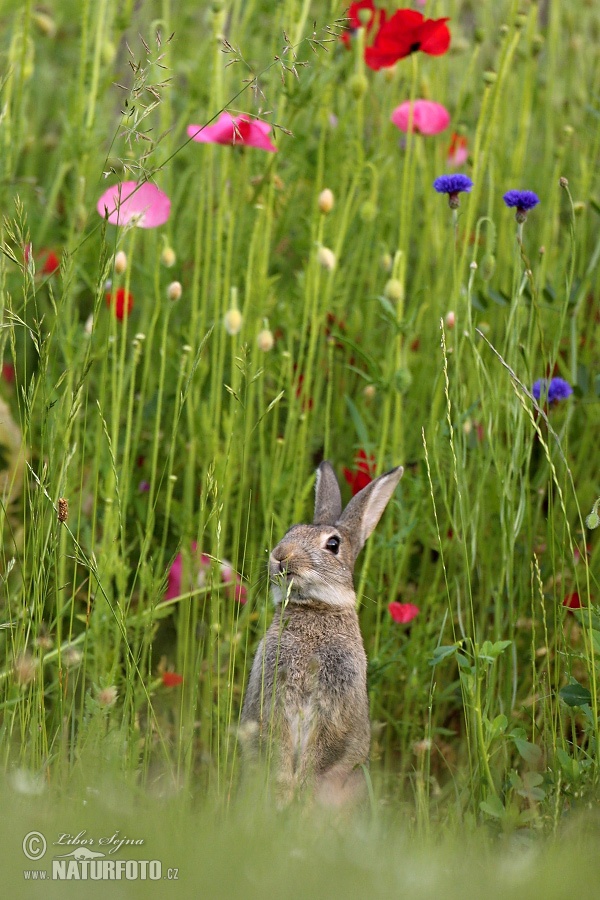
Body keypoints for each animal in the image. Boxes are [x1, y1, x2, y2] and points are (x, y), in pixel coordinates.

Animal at [240, 458, 404, 808]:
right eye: (290, 531)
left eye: (333, 544)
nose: (280, 554)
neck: (314, 609)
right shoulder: (272, 697)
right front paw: (283, 793)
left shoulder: (335, 703)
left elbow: (323, 750)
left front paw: (299, 794)